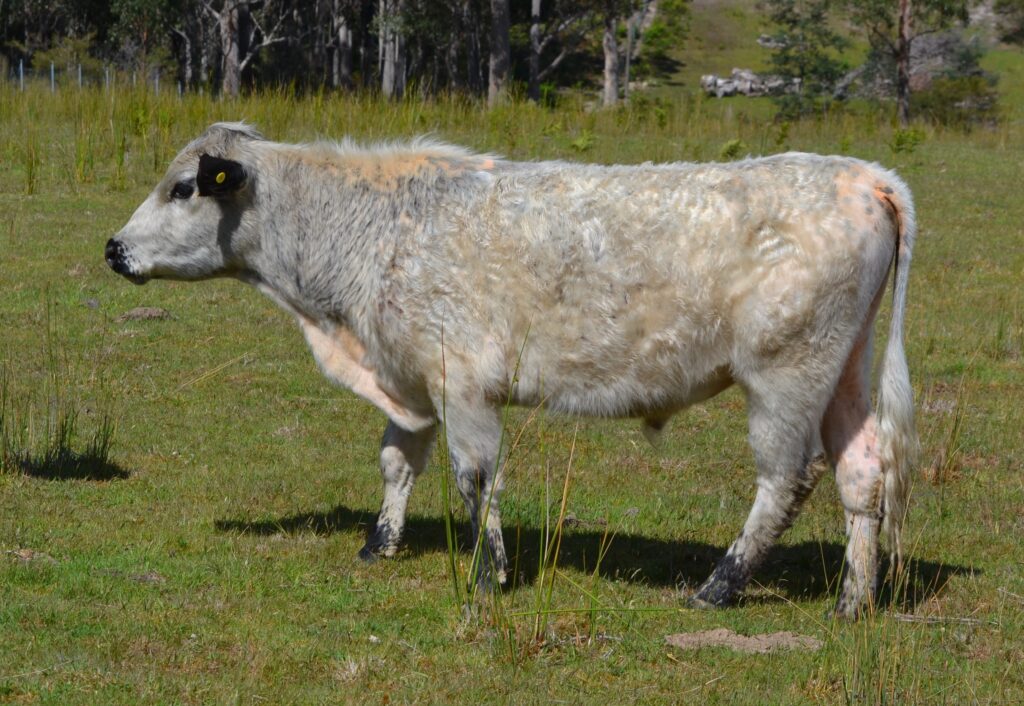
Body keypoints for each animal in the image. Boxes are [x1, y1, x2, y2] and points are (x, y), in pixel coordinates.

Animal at [105, 122, 917, 618]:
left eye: (184, 187)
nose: (114, 248)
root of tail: (866, 175)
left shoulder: (462, 382)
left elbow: (476, 478)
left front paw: (489, 573)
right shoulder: (411, 378)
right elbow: (397, 460)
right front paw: (379, 544)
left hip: (786, 376)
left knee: (786, 480)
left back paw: (719, 587)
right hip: (844, 375)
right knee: (862, 473)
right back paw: (854, 598)